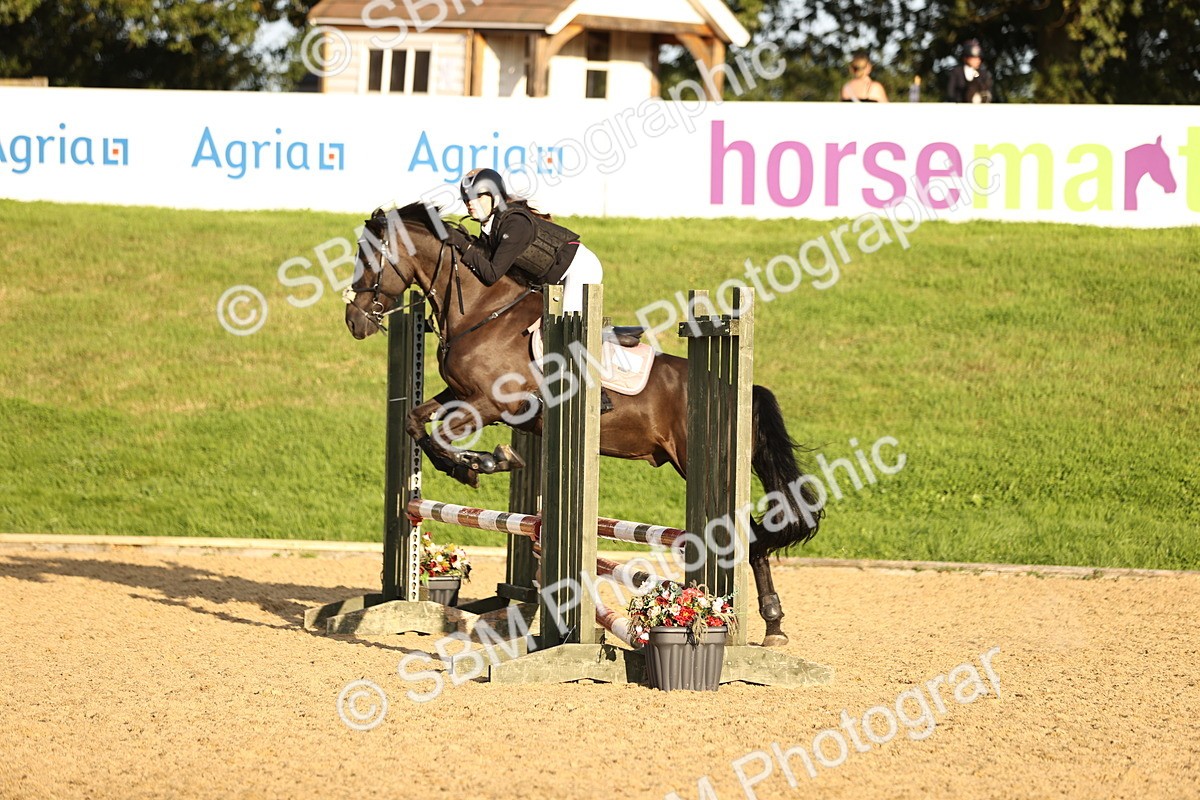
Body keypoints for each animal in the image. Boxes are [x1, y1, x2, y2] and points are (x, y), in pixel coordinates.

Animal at [343, 202, 823, 647]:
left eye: (370, 258)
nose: (354, 321)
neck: (482, 311)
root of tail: (740, 386)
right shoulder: (462, 394)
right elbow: (416, 422)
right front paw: (465, 466)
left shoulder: (494, 403)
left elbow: (444, 433)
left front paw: (486, 461)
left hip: (696, 461)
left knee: (752, 539)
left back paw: (772, 624)